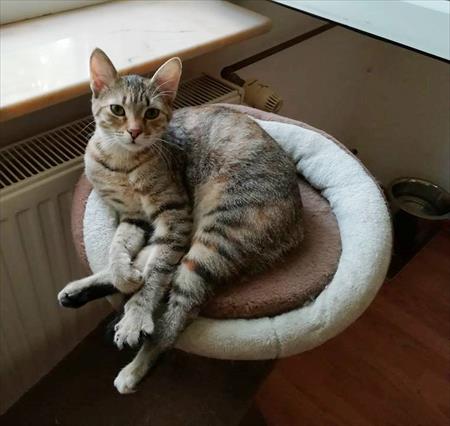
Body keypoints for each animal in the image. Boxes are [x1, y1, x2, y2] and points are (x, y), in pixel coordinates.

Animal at [58, 48, 303, 394]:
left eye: (151, 113)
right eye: (117, 109)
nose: (134, 132)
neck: (121, 164)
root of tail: (298, 226)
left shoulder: (175, 214)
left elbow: (154, 278)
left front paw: (136, 315)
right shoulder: (135, 219)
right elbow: (118, 250)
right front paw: (125, 276)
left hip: (213, 240)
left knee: (174, 316)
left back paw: (134, 364)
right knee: (145, 265)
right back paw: (81, 291)